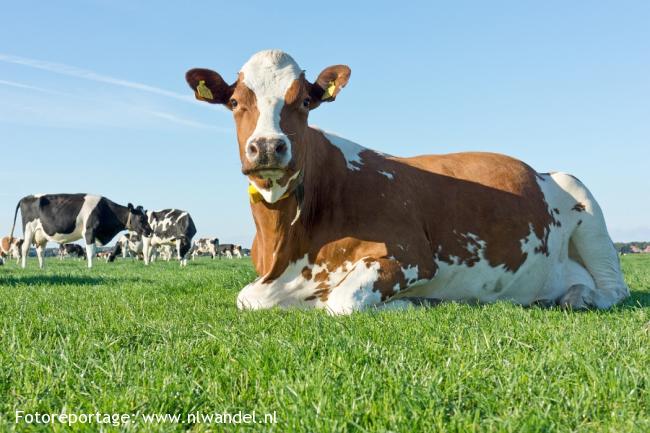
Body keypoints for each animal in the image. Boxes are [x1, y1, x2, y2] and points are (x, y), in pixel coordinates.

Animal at [9, 194, 152, 268]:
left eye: (147, 217)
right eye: (141, 218)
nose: (150, 231)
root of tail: (26, 197)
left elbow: (92, 251)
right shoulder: (89, 231)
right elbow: (91, 252)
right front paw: (90, 267)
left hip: (41, 234)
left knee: (40, 251)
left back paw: (42, 267)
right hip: (29, 230)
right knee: (25, 249)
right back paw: (24, 266)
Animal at [184, 49, 628, 314]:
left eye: (306, 102)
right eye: (235, 102)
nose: (267, 147)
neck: (287, 250)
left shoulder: (414, 255)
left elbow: (341, 301)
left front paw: (412, 304)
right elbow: (247, 298)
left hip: (583, 199)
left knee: (614, 289)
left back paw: (581, 297)